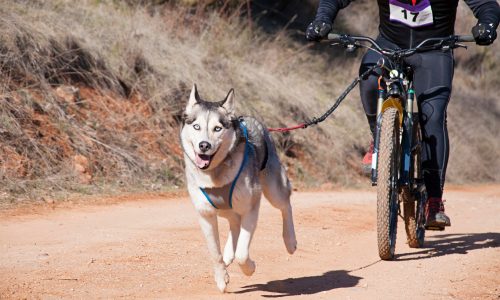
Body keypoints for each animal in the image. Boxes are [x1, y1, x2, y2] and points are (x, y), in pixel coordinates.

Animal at [181, 84, 294, 290]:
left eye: (217, 128)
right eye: (196, 126)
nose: (204, 145)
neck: (215, 173)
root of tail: (250, 119)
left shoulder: (251, 207)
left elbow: (242, 252)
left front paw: (249, 268)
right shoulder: (206, 214)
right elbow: (214, 253)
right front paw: (221, 277)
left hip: (273, 189)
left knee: (285, 205)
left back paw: (290, 240)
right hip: (224, 208)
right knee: (234, 222)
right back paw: (228, 253)